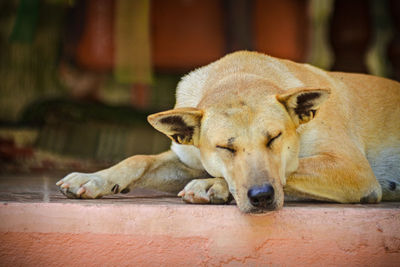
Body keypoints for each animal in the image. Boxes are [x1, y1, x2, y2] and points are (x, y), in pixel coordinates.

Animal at [56, 51, 400, 215]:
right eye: (225, 148)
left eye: (274, 138)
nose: (262, 197)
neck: (239, 75)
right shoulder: (187, 160)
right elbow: (138, 159)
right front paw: (95, 178)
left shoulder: (353, 170)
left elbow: (291, 168)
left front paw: (214, 185)